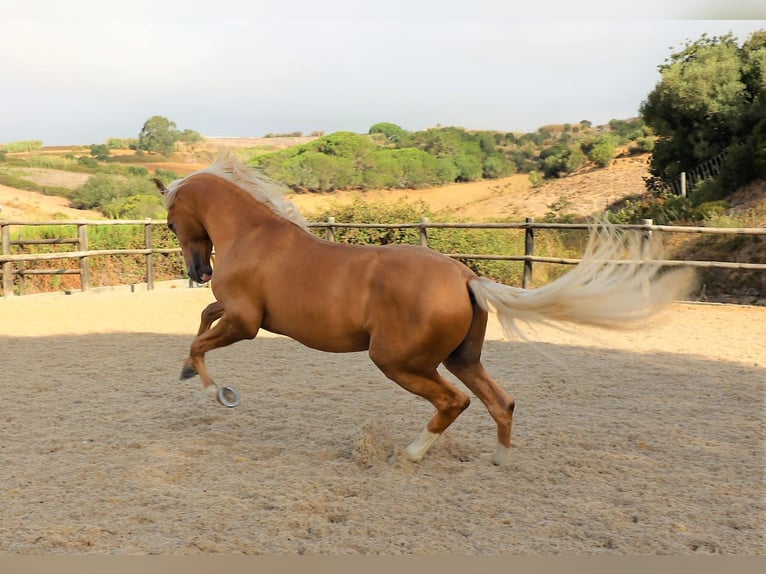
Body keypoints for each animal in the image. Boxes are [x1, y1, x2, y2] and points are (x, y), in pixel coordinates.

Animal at [153, 154, 700, 468]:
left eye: (171, 220)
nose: (198, 269)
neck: (252, 235)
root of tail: (465, 277)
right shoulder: (237, 313)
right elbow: (202, 319)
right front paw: (188, 375)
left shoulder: (246, 323)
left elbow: (200, 339)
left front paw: (217, 392)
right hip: (461, 357)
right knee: (501, 402)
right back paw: (500, 460)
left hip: (398, 361)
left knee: (454, 403)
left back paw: (412, 454)